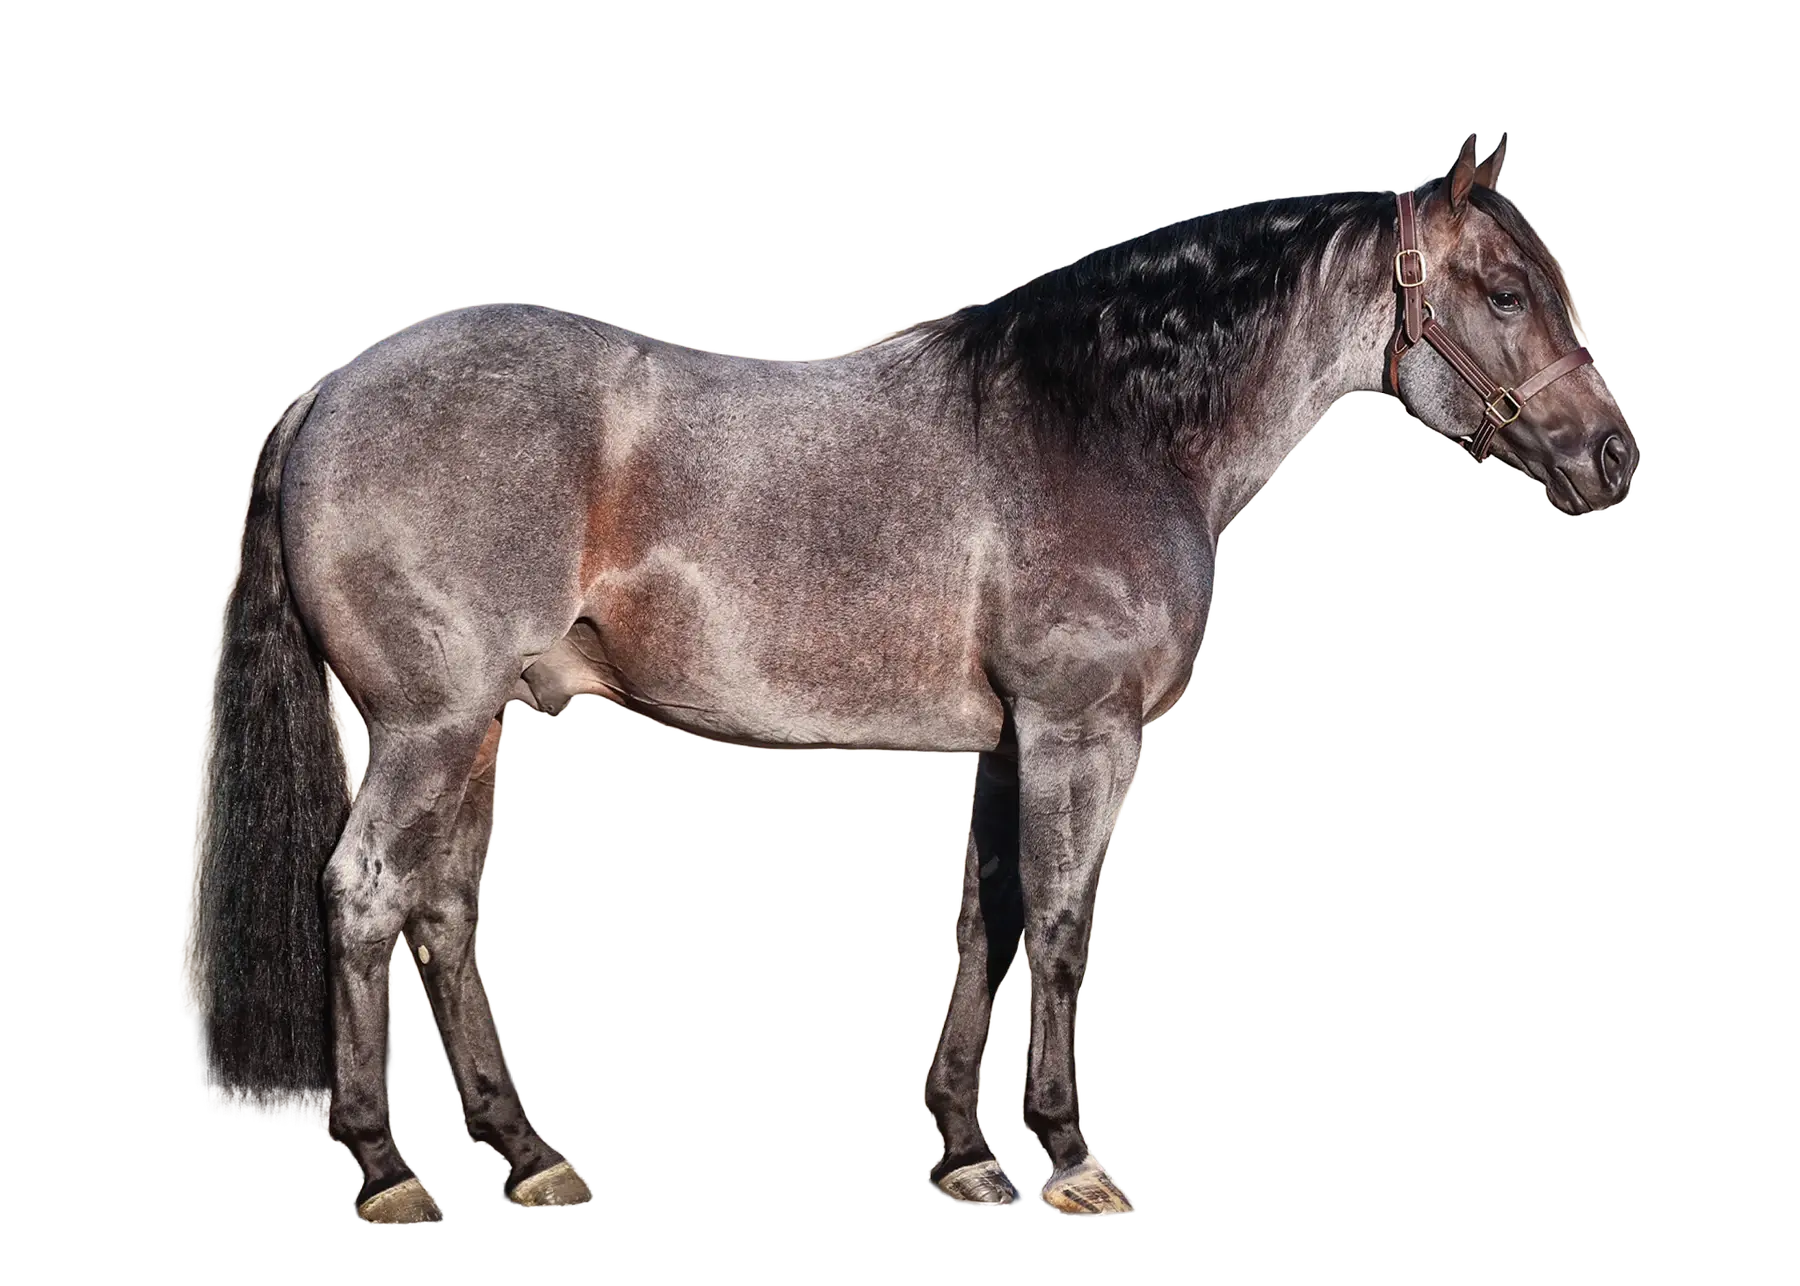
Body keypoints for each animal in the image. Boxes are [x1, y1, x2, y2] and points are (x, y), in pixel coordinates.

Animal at [179, 130, 1638, 1224]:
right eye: (1505, 291)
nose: (1612, 457)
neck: (1104, 429)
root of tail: (326, 393)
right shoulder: (1082, 732)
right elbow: (1062, 926)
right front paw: (1072, 1155)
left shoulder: (1005, 741)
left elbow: (986, 918)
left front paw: (970, 1152)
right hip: (428, 723)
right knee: (366, 894)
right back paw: (387, 1170)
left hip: (475, 728)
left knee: (443, 910)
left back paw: (532, 1155)